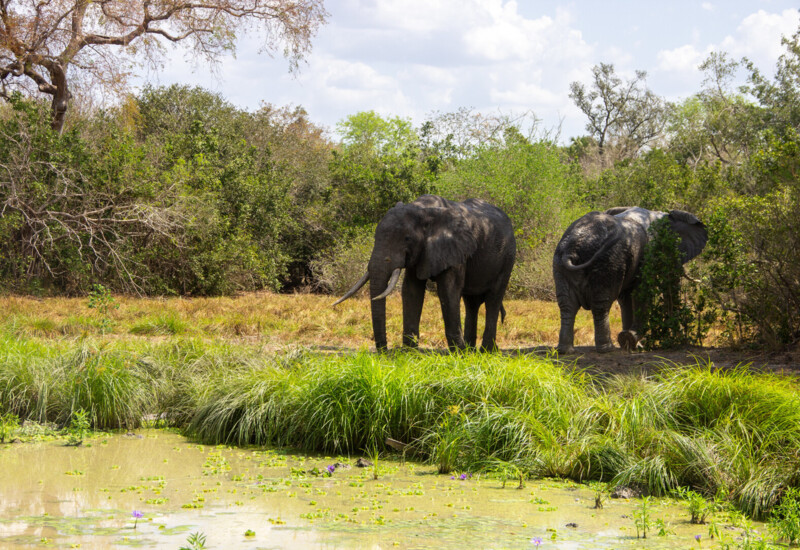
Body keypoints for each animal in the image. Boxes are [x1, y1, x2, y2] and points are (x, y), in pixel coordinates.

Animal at [334, 195, 516, 352]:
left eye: (407, 238)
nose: (384, 352)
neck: (424, 210)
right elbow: (411, 291)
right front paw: (409, 353)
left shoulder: (455, 250)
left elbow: (448, 291)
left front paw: (458, 354)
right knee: (471, 303)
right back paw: (472, 351)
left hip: (507, 258)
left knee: (493, 299)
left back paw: (485, 352)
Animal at [553, 206, 707, 354]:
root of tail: (571, 251)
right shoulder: (648, 254)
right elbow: (642, 293)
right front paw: (630, 340)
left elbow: (626, 297)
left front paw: (630, 345)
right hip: (608, 261)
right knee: (601, 304)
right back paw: (607, 349)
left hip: (561, 264)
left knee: (567, 306)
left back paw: (565, 351)